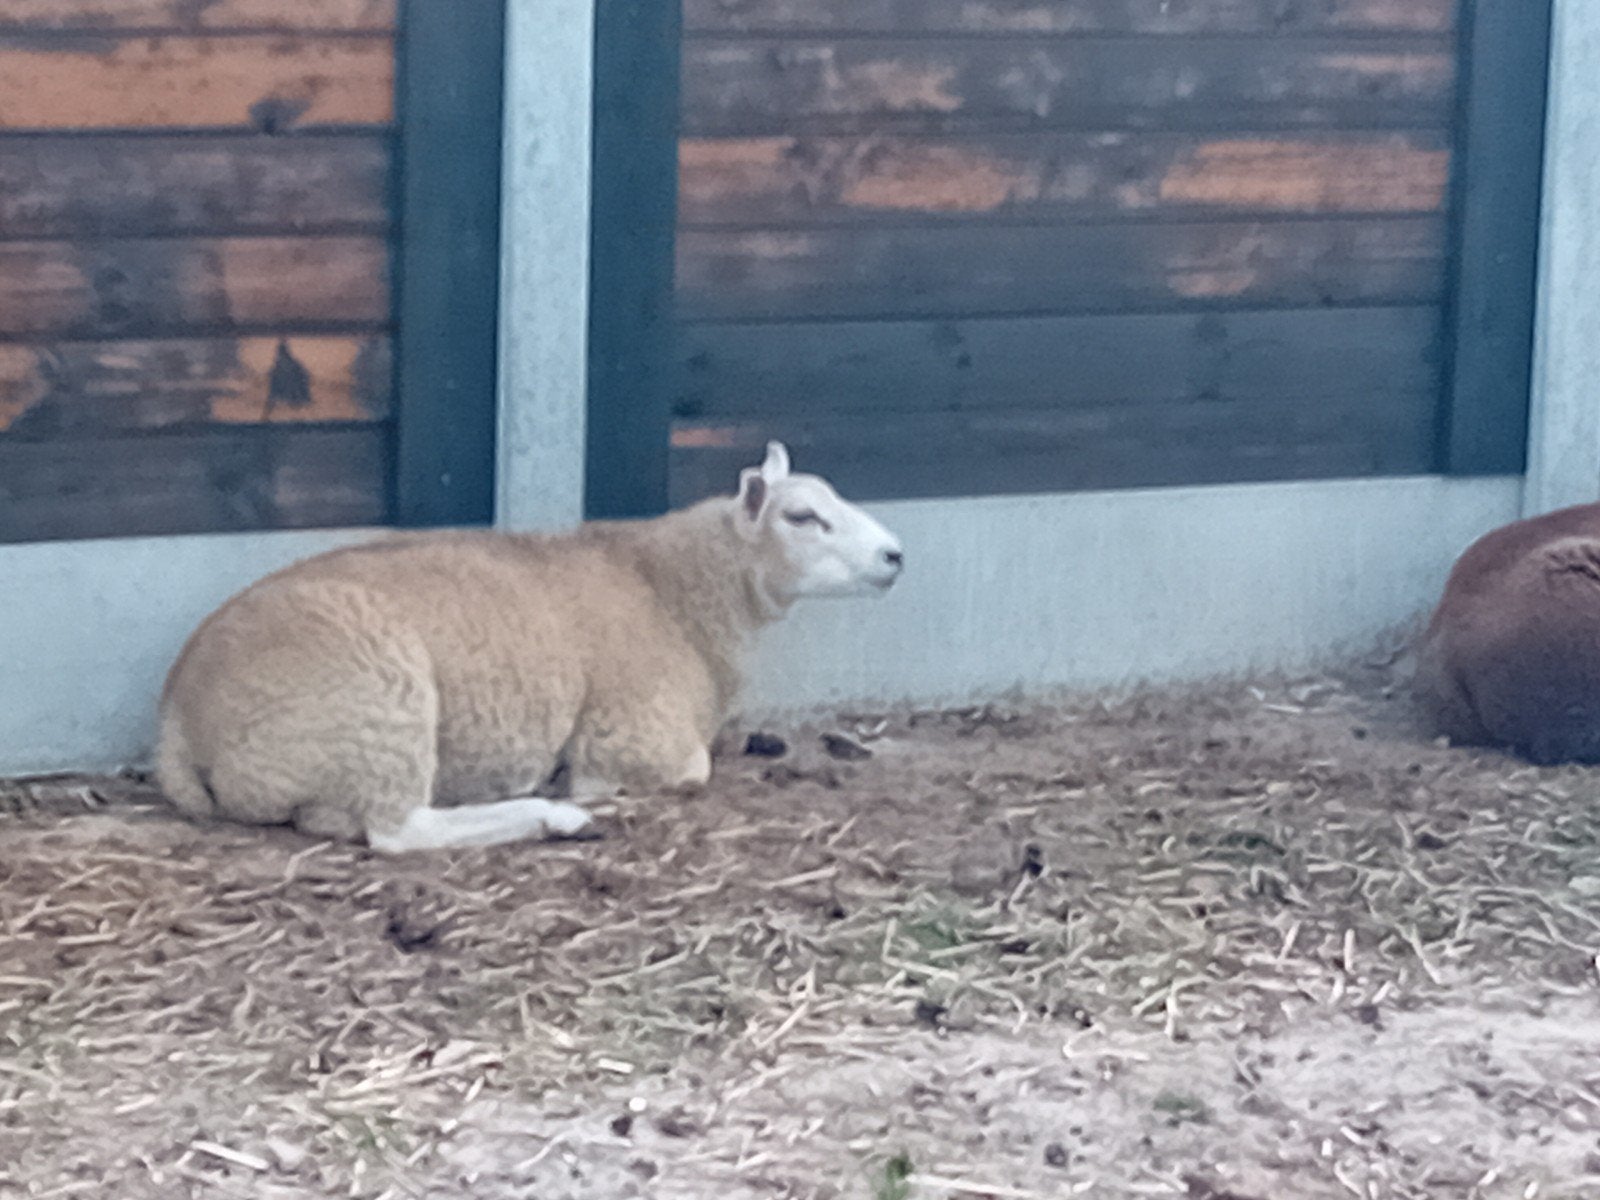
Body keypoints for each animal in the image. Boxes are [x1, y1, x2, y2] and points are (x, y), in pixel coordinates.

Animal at [156, 442, 904, 851]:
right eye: (803, 517)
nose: (896, 555)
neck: (676, 588)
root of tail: (176, 717)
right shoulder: (635, 733)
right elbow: (683, 770)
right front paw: (582, 789)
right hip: (378, 709)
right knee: (398, 832)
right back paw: (555, 815)